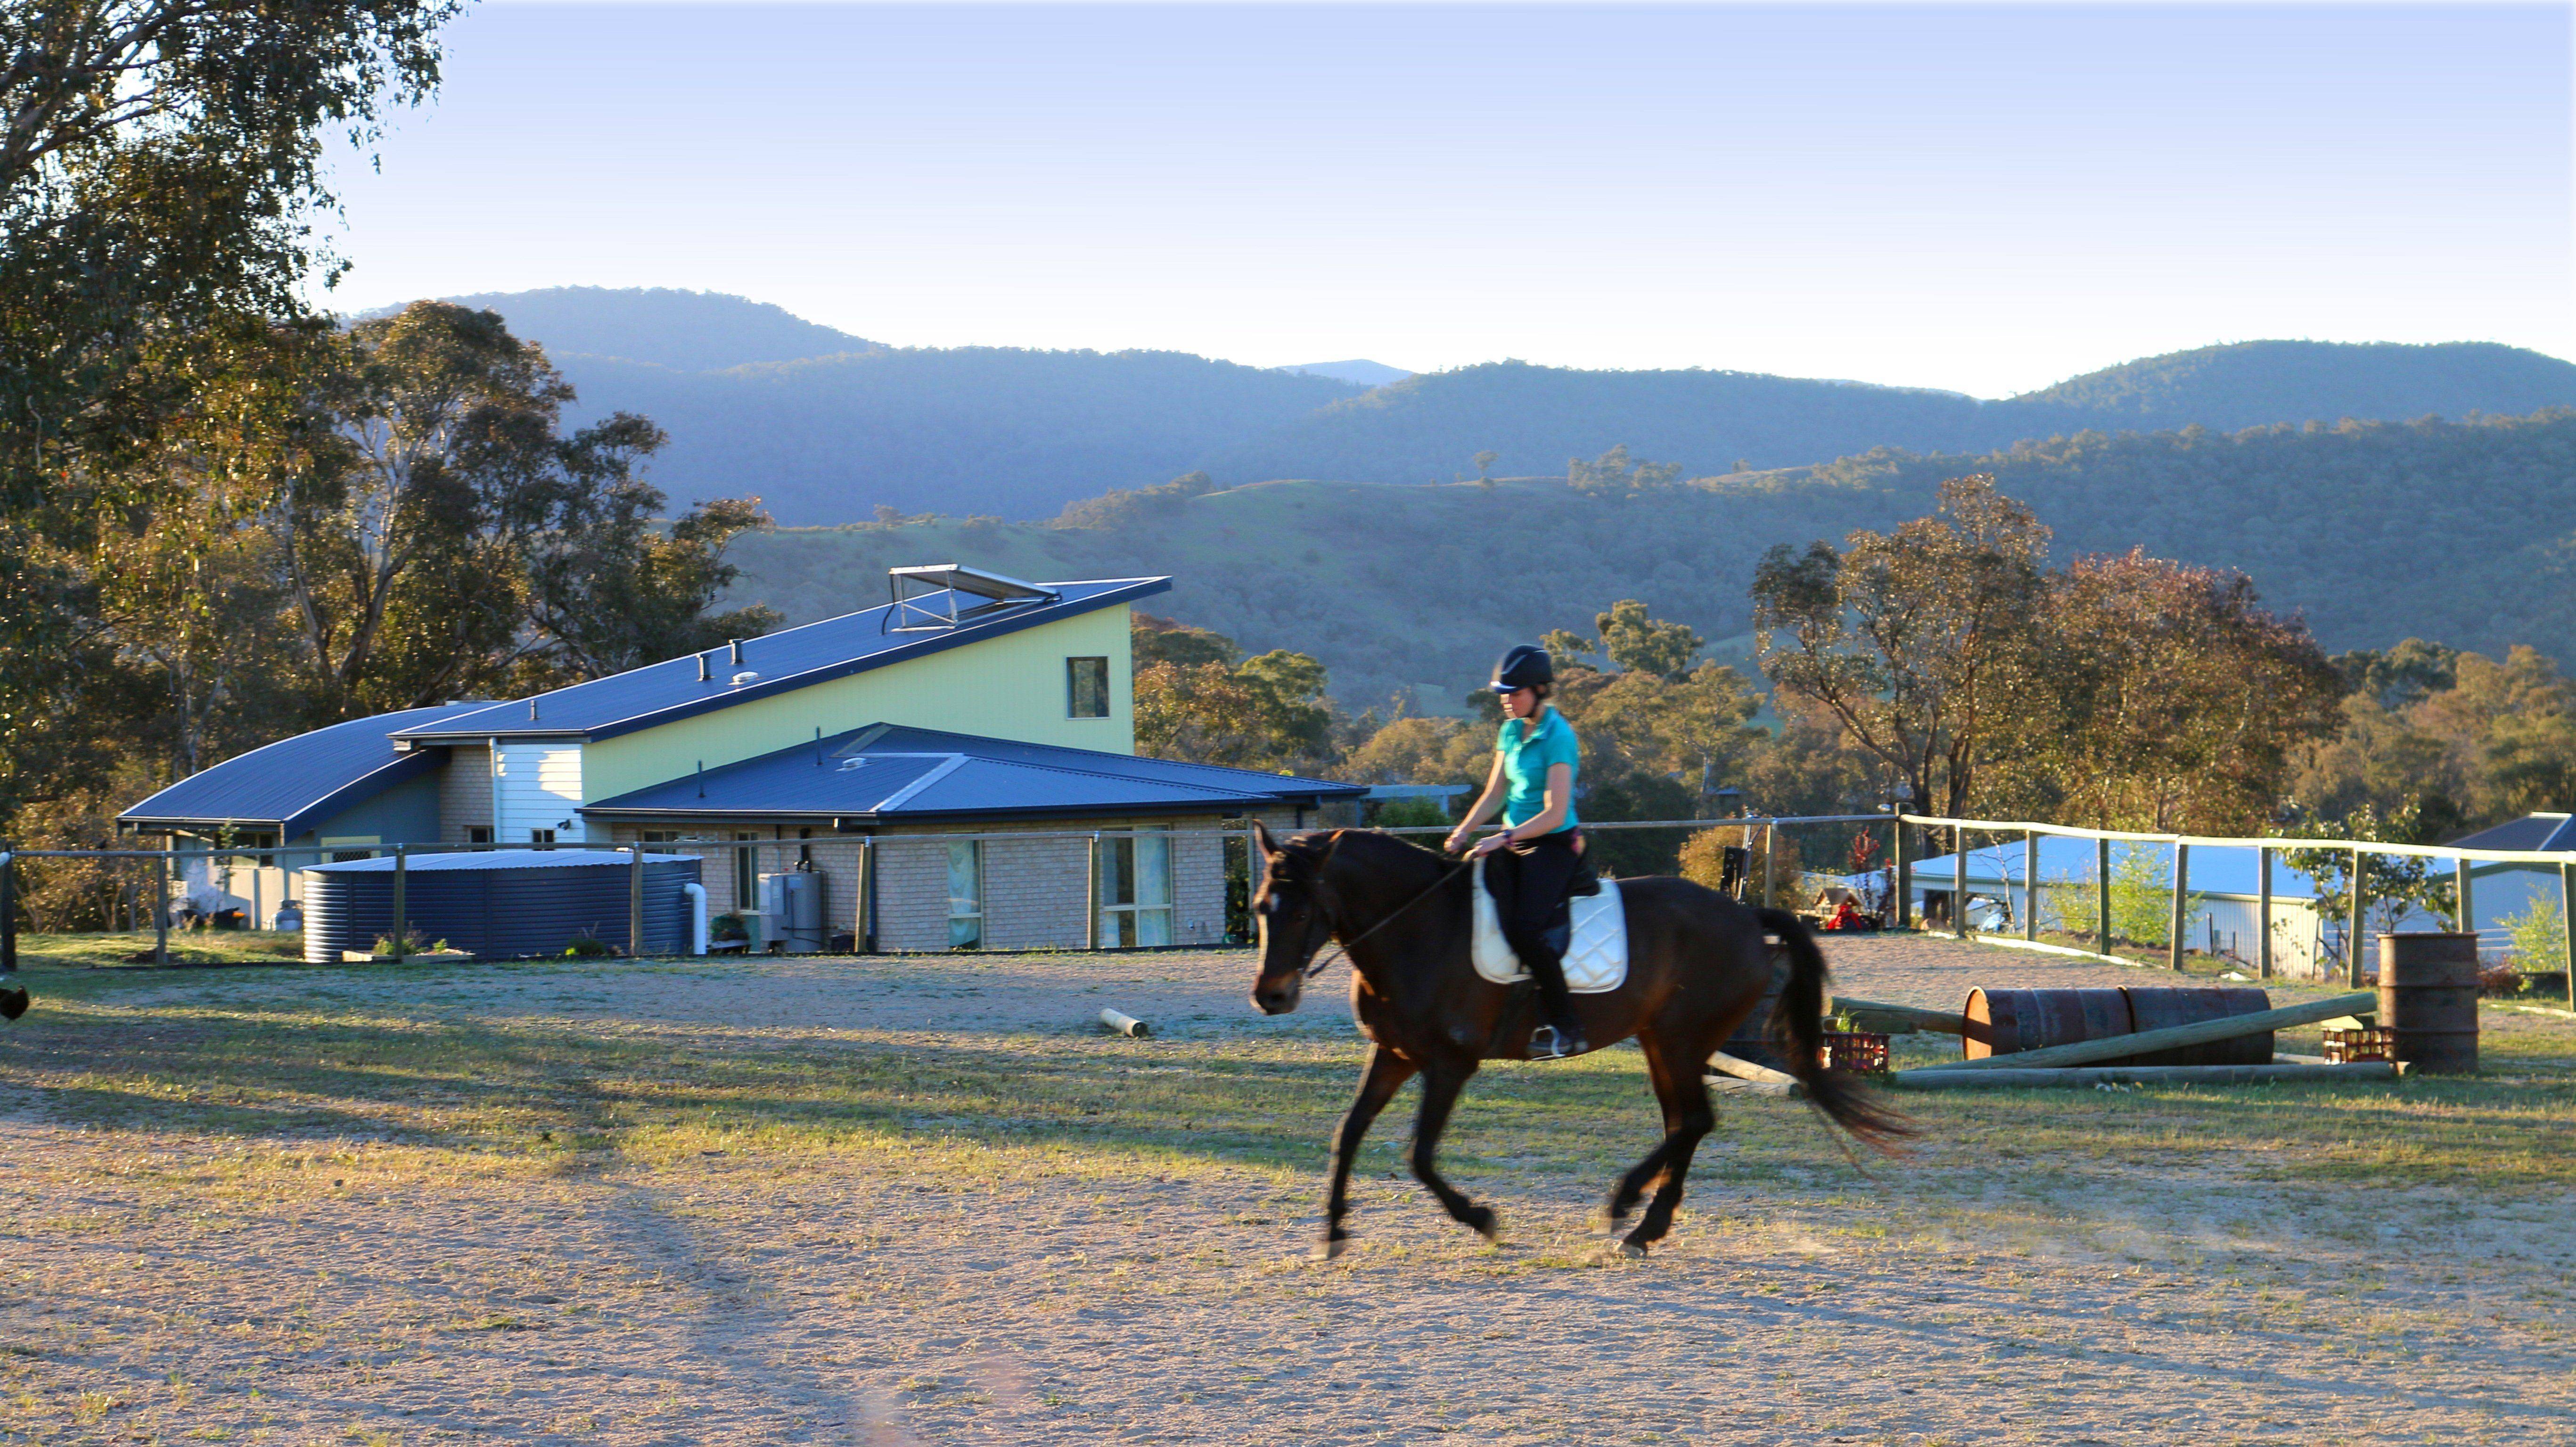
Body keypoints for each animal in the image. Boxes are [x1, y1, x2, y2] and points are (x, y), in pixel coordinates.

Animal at [1247, 819, 1916, 1256]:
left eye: (1301, 911)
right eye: (1259, 907)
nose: (1270, 996)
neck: (1417, 926)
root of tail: (1747, 916)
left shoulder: (1451, 1063)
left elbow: (1419, 1153)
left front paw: (1481, 1218)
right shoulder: (1394, 1054)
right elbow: (1349, 1133)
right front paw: (1333, 1231)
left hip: (1680, 1040)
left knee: (1695, 1121)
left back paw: (1630, 1213)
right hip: (1660, 1042)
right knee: (1684, 1123)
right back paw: (1645, 1221)